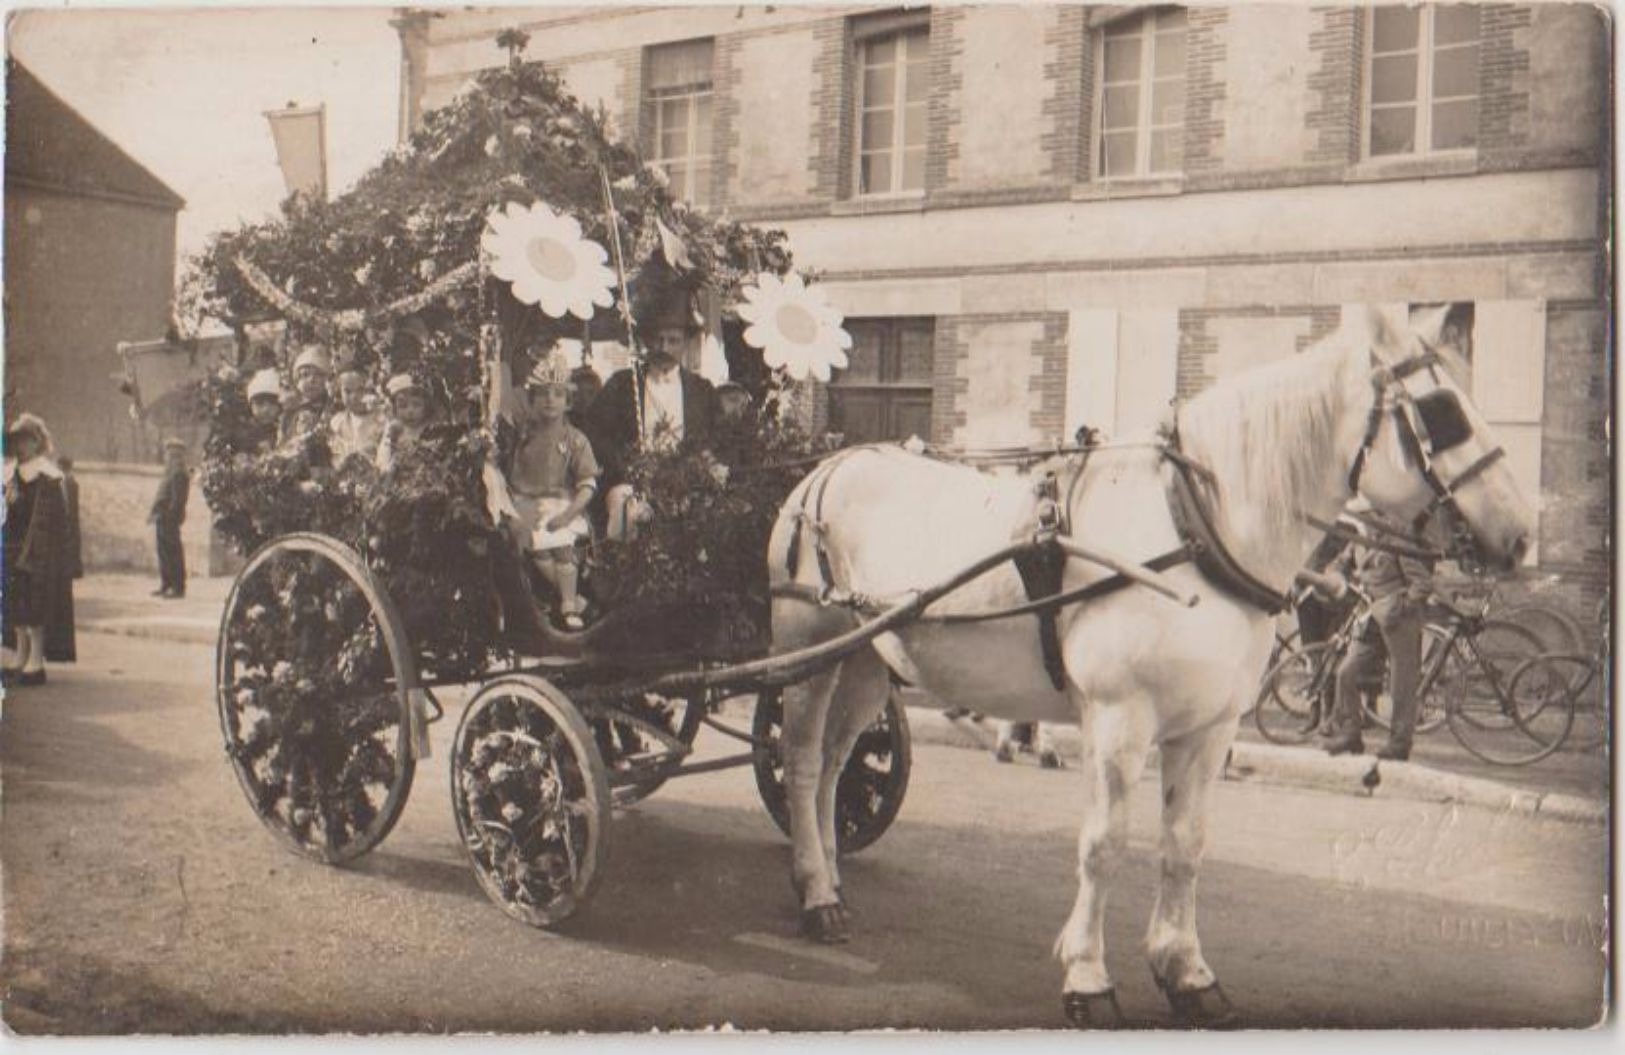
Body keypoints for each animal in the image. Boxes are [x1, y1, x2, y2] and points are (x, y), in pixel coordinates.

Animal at [767, 307, 1527, 1027]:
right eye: (1441, 412)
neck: (1192, 531)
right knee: (801, 762)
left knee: (837, 765)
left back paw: (829, 875)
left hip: (867, 660)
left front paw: (1185, 971)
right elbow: (1105, 844)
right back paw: (814, 892)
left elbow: (1184, 844)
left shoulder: (1210, 726)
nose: (1520, 535)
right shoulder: (1118, 717)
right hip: (807, 649)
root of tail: (828, 468)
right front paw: (1087, 976)